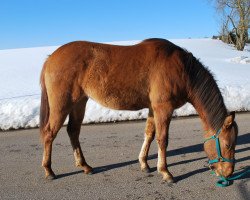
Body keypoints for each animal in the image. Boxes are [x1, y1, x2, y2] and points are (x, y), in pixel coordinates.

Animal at [39, 38, 238, 184]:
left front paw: (144, 164)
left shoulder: (152, 108)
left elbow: (149, 134)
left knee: (73, 131)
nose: (228, 174)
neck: (181, 70)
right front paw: (165, 172)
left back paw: (84, 166)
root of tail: (51, 58)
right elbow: (162, 139)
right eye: (228, 145)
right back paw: (49, 170)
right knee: (50, 133)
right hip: (62, 105)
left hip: (80, 102)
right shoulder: (163, 108)